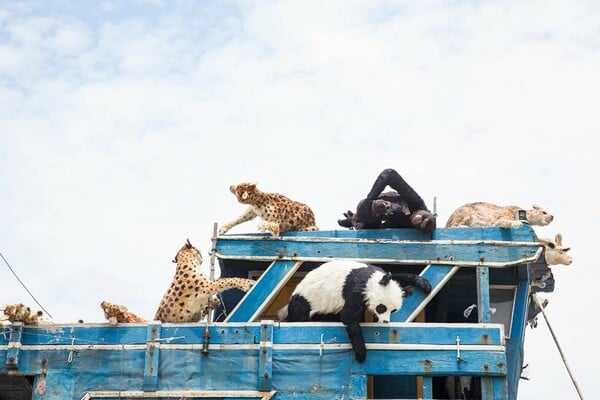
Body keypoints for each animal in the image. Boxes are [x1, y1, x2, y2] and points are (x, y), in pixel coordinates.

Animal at [276, 260, 432, 362]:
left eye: (393, 310)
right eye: (381, 307)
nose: (385, 321)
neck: (370, 281)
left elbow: (397, 276)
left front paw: (423, 284)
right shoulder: (354, 289)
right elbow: (348, 317)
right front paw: (361, 353)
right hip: (307, 300)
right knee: (301, 314)